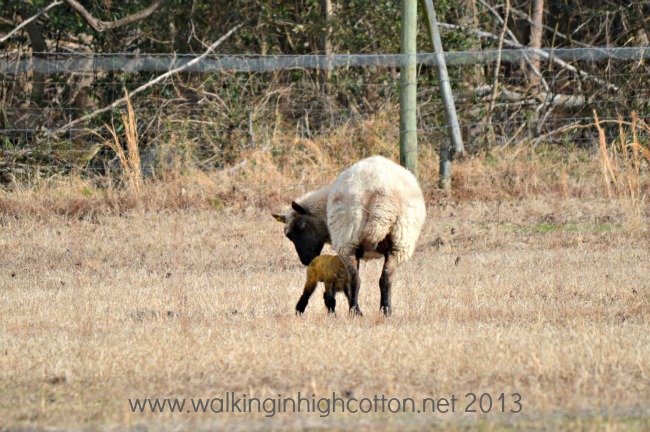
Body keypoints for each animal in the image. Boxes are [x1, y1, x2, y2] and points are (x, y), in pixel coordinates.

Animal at [273, 155, 426, 316]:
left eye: (303, 225)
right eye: (289, 236)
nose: (305, 260)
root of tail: (380, 193)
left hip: (353, 240)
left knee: (360, 279)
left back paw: (362, 311)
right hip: (395, 241)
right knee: (379, 278)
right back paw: (378, 311)